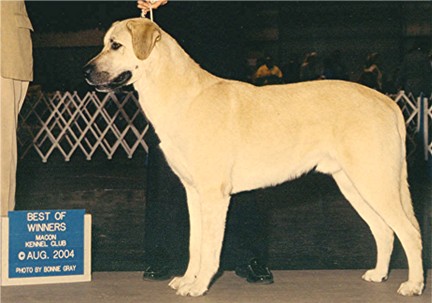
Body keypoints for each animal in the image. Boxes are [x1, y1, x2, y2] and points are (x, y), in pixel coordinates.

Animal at [84, 18, 426, 296]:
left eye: (116, 45)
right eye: (105, 43)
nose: (86, 71)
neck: (181, 95)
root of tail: (387, 102)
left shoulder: (214, 195)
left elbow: (210, 247)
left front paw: (199, 285)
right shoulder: (193, 193)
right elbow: (195, 244)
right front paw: (187, 279)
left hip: (375, 180)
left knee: (410, 231)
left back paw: (413, 285)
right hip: (353, 183)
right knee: (384, 230)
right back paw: (379, 275)